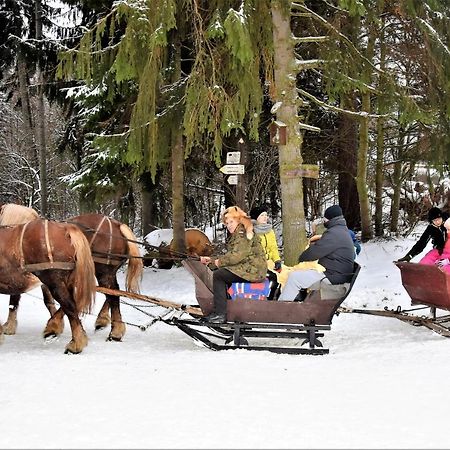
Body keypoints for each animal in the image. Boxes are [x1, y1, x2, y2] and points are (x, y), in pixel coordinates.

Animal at [0, 220, 97, 354]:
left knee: (70, 306)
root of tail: (65, 228)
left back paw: (75, 344)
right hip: (66, 281)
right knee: (72, 303)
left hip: (54, 281)